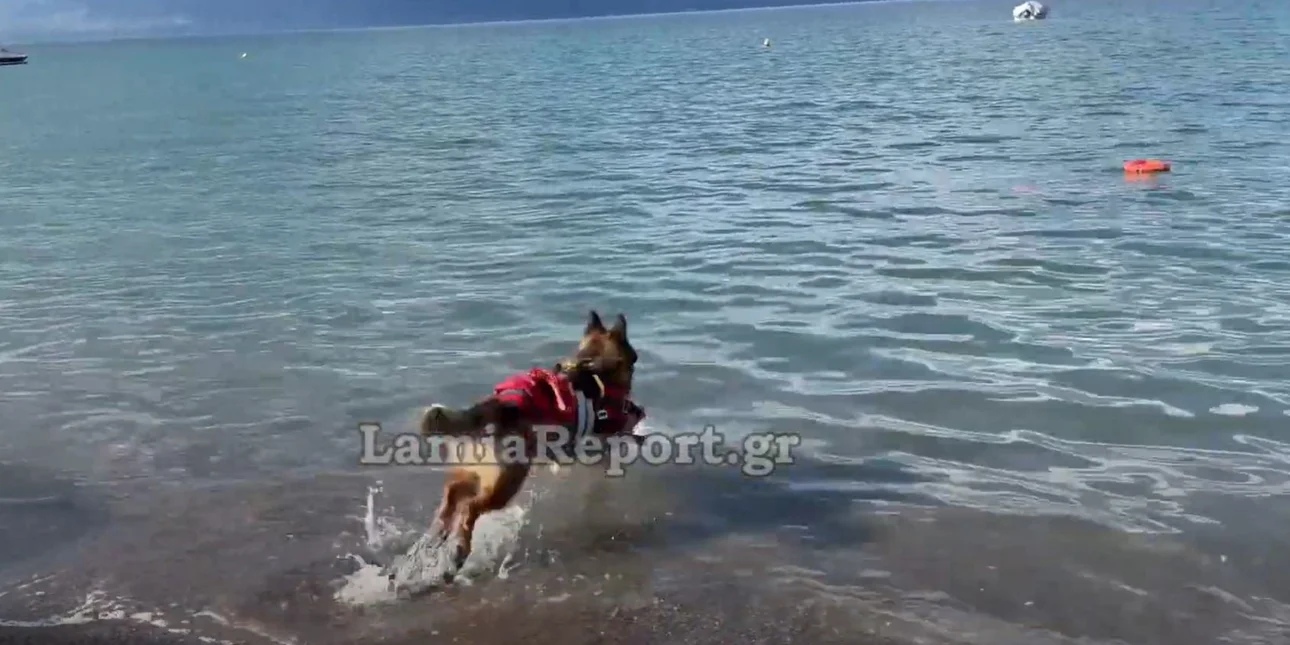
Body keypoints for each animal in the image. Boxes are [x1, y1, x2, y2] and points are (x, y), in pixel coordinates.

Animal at [417, 310, 646, 570]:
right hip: (506, 483)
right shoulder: (601, 444)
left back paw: (440, 527)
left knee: (452, 492)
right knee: (470, 507)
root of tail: (495, 407)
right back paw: (460, 549)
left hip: (477, 471)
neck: (594, 367)